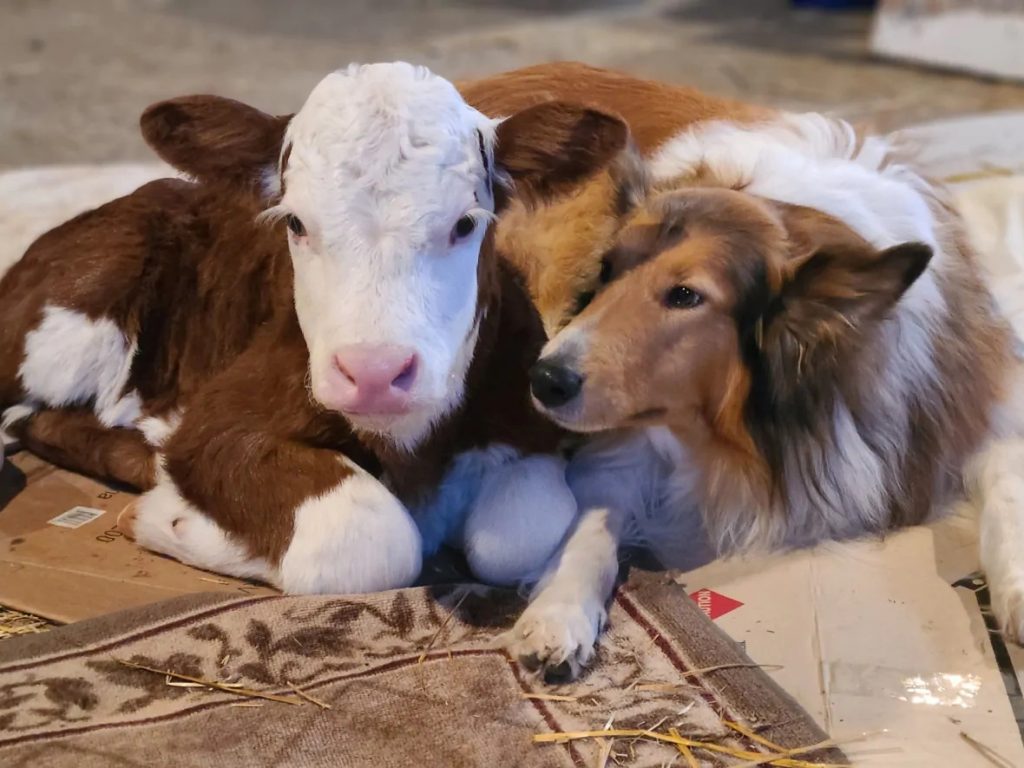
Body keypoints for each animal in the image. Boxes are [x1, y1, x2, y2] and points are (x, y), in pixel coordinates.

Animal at [0, 64, 626, 593]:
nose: (374, 374)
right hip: (75, 317)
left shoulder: (531, 417)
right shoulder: (221, 420)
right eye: (296, 223)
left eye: (466, 223)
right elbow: (370, 539)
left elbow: (520, 539)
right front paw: (172, 519)